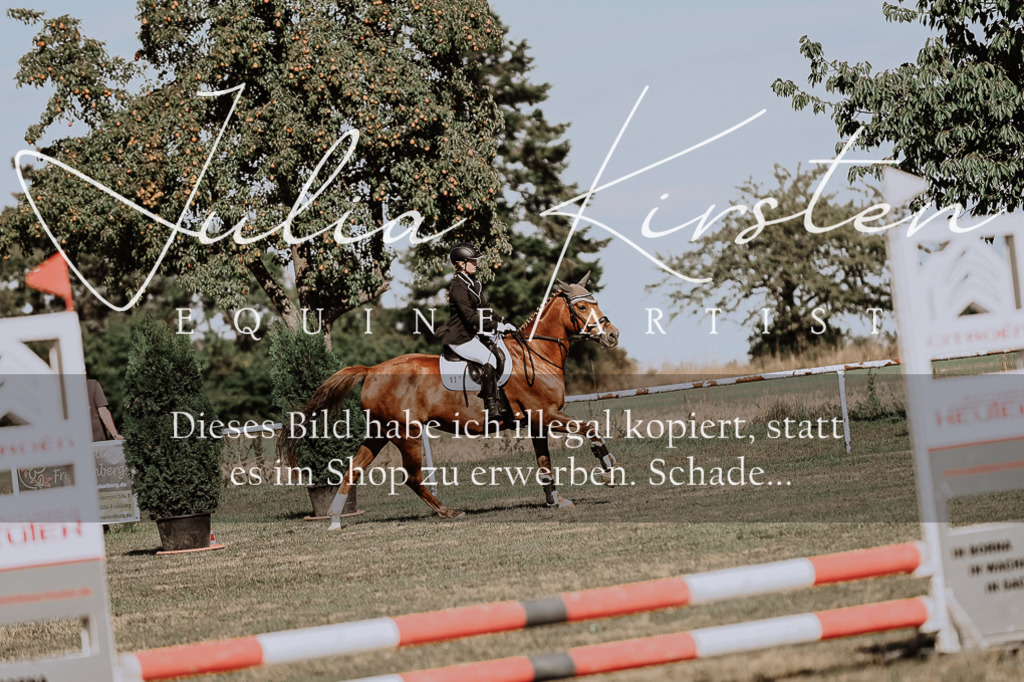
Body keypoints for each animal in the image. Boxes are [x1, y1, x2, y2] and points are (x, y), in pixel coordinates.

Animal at [284, 272, 621, 530]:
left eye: (596, 302)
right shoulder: (546, 414)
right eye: (581, 307)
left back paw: (335, 519)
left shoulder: (536, 421)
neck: (536, 355)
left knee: (354, 468)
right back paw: (448, 511)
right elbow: (591, 429)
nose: (612, 335)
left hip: (381, 432)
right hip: (407, 433)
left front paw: (556, 500)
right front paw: (609, 471)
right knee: (412, 477)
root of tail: (372, 370)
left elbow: (544, 461)